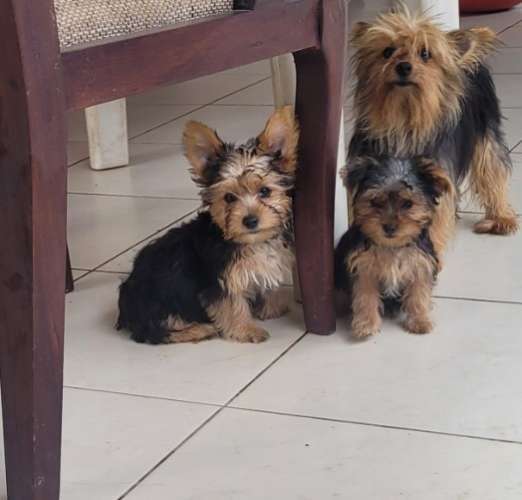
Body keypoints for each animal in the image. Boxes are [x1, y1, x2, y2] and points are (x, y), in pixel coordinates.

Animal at [117, 107, 298, 344]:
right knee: (154, 331)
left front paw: (273, 306)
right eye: (229, 197)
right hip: (157, 300)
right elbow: (232, 304)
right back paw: (199, 330)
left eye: (265, 191)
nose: (250, 220)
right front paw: (247, 329)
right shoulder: (218, 280)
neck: (249, 241)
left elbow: (266, 285)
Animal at [335, 156, 454, 338]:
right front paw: (367, 324)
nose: (389, 227)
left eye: (408, 203)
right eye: (375, 202)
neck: (392, 246)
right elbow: (365, 295)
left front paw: (420, 321)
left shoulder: (421, 263)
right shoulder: (363, 267)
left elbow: (419, 292)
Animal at [349, 6, 518, 238]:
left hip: (486, 129)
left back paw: (500, 218)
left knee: (491, 168)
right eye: (387, 52)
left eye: (425, 54)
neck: (404, 120)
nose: (403, 67)